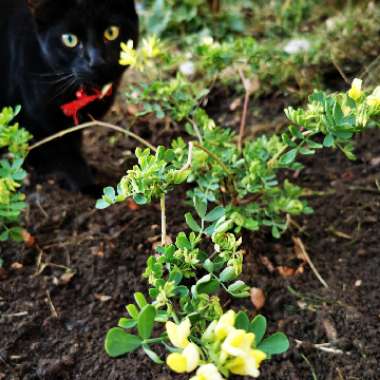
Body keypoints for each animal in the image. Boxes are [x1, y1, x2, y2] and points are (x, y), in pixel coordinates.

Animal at [0, 0, 139, 193]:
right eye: (70, 39)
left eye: (111, 32)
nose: (96, 61)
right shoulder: (40, 120)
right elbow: (68, 154)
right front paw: (91, 186)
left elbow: (75, 142)